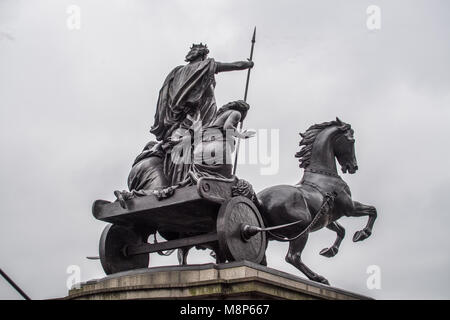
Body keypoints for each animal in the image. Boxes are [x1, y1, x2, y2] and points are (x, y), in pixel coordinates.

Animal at [256, 117, 376, 284]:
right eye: (351, 140)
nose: (353, 167)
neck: (323, 176)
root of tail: (260, 200)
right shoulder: (350, 208)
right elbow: (372, 210)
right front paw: (362, 234)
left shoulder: (326, 218)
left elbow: (341, 230)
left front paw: (330, 251)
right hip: (301, 229)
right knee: (293, 257)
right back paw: (319, 278)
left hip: (271, 234)